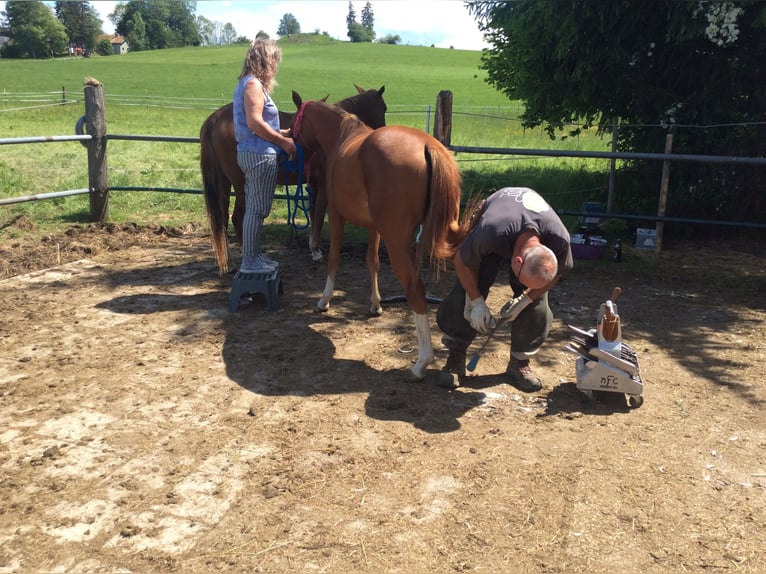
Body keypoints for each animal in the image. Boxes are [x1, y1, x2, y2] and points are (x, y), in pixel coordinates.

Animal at [200, 84, 388, 276]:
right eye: (384, 108)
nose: (381, 133)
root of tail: (215, 119)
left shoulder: (312, 184)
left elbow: (313, 215)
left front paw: (313, 249)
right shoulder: (323, 185)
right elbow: (319, 216)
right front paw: (316, 251)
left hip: (224, 183)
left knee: (221, 219)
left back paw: (228, 262)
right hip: (241, 185)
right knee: (238, 218)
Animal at [292, 101, 462, 380]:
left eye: (297, 118)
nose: (291, 143)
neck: (342, 137)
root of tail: (429, 146)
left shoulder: (336, 215)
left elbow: (334, 258)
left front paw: (324, 300)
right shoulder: (374, 227)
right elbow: (372, 261)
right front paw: (376, 304)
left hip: (397, 241)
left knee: (416, 289)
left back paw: (422, 362)